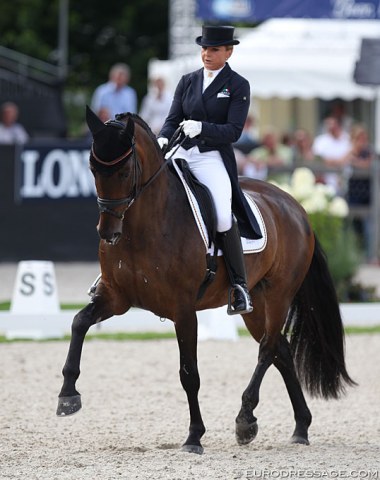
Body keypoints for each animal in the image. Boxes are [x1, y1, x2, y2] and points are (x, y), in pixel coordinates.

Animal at [55, 108, 354, 454]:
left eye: (125, 170)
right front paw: (67, 395)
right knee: (281, 348)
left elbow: (190, 374)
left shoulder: (183, 310)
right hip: (256, 304)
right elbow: (78, 322)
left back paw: (245, 419)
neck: (144, 225)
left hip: (279, 294)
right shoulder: (116, 298)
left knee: (267, 349)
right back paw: (300, 427)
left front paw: (194, 436)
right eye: (92, 167)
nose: (107, 232)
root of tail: (297, 208)